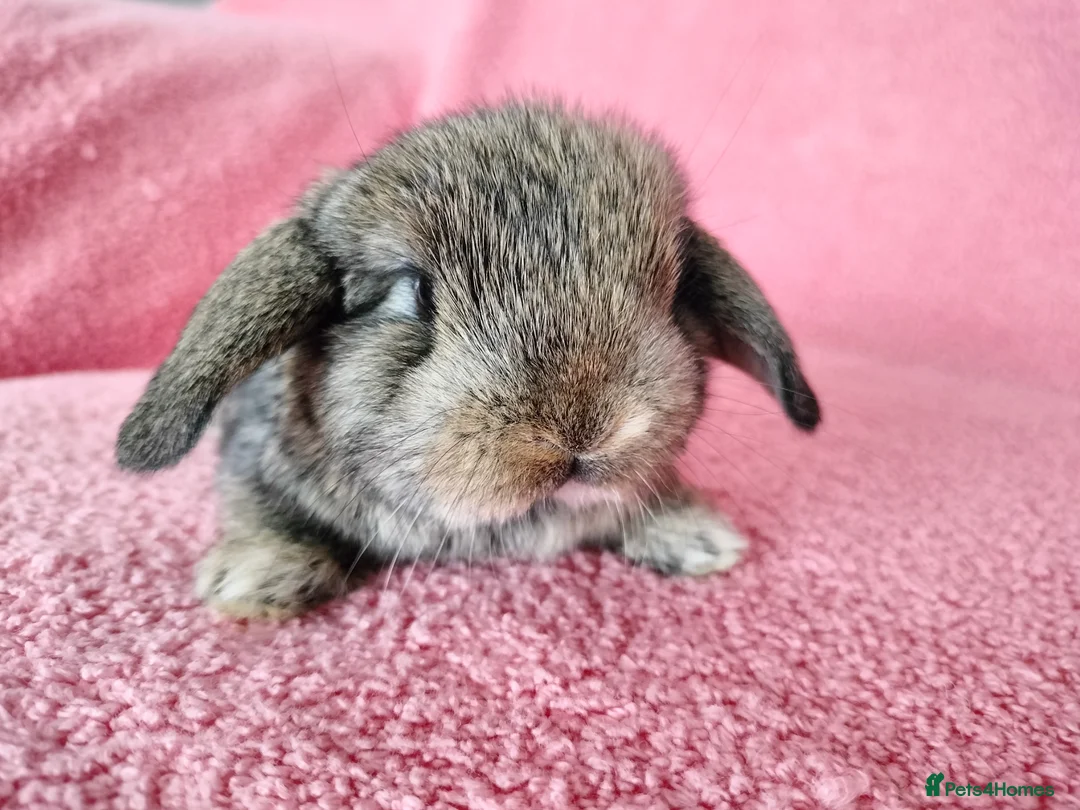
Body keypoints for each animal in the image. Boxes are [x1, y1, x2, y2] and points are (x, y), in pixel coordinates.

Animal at [115, 100, 820, 619]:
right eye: (413, 292)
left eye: (672, 296)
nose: (583, 428)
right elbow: (260, 508)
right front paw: (257, 576)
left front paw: (699, 538)